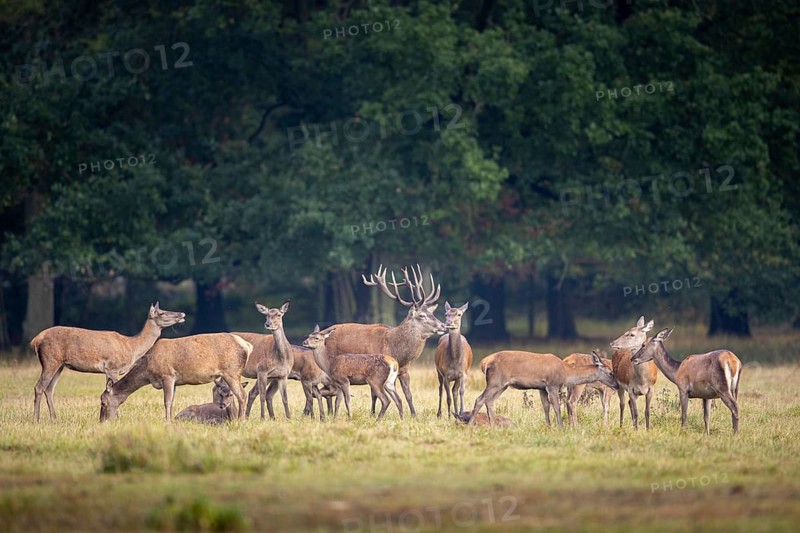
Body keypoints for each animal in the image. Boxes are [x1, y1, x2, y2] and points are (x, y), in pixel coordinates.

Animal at [30, 302, 185, 422]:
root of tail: (36, 340)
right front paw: (116, 418)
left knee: (49, 388)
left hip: (60, 364)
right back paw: (36, 419)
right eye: (162, 313)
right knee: (39, 386)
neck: (131, 347)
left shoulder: (109, 369)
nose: (182, 314)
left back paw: (54, 418)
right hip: (51, 359)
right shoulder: (113, 367)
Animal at [99, 333, 252, 421]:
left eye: (103, 402)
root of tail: (247, 346)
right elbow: (172, 401)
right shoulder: (176, 382)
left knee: (242, 395)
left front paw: (167, 422)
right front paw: (172, 420)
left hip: (232, 371)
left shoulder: (167, 375)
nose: (102, 421)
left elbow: (166, 401)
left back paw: (241, 421)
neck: (148, 371)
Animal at [320, 265, 447, 417]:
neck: (396, 350)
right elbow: (374, 394)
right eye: (422, 315)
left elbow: (408, 394)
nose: (443, 325)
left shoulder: (404, 370)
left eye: (431, 313)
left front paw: (414, 415)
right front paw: (372, 414)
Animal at [468, 350, 618, 427]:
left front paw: (548, 426)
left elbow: (546, 406)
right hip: (495, 381)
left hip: (502, 386)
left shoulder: (541, 388)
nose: (617, 385)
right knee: (479, 399)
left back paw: (493, 426)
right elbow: (556, 407)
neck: (566, 372)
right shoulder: (552, 384)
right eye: (611, 373)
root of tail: (484, 362)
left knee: (490, 401)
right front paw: (561, 427)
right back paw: (470, 425)